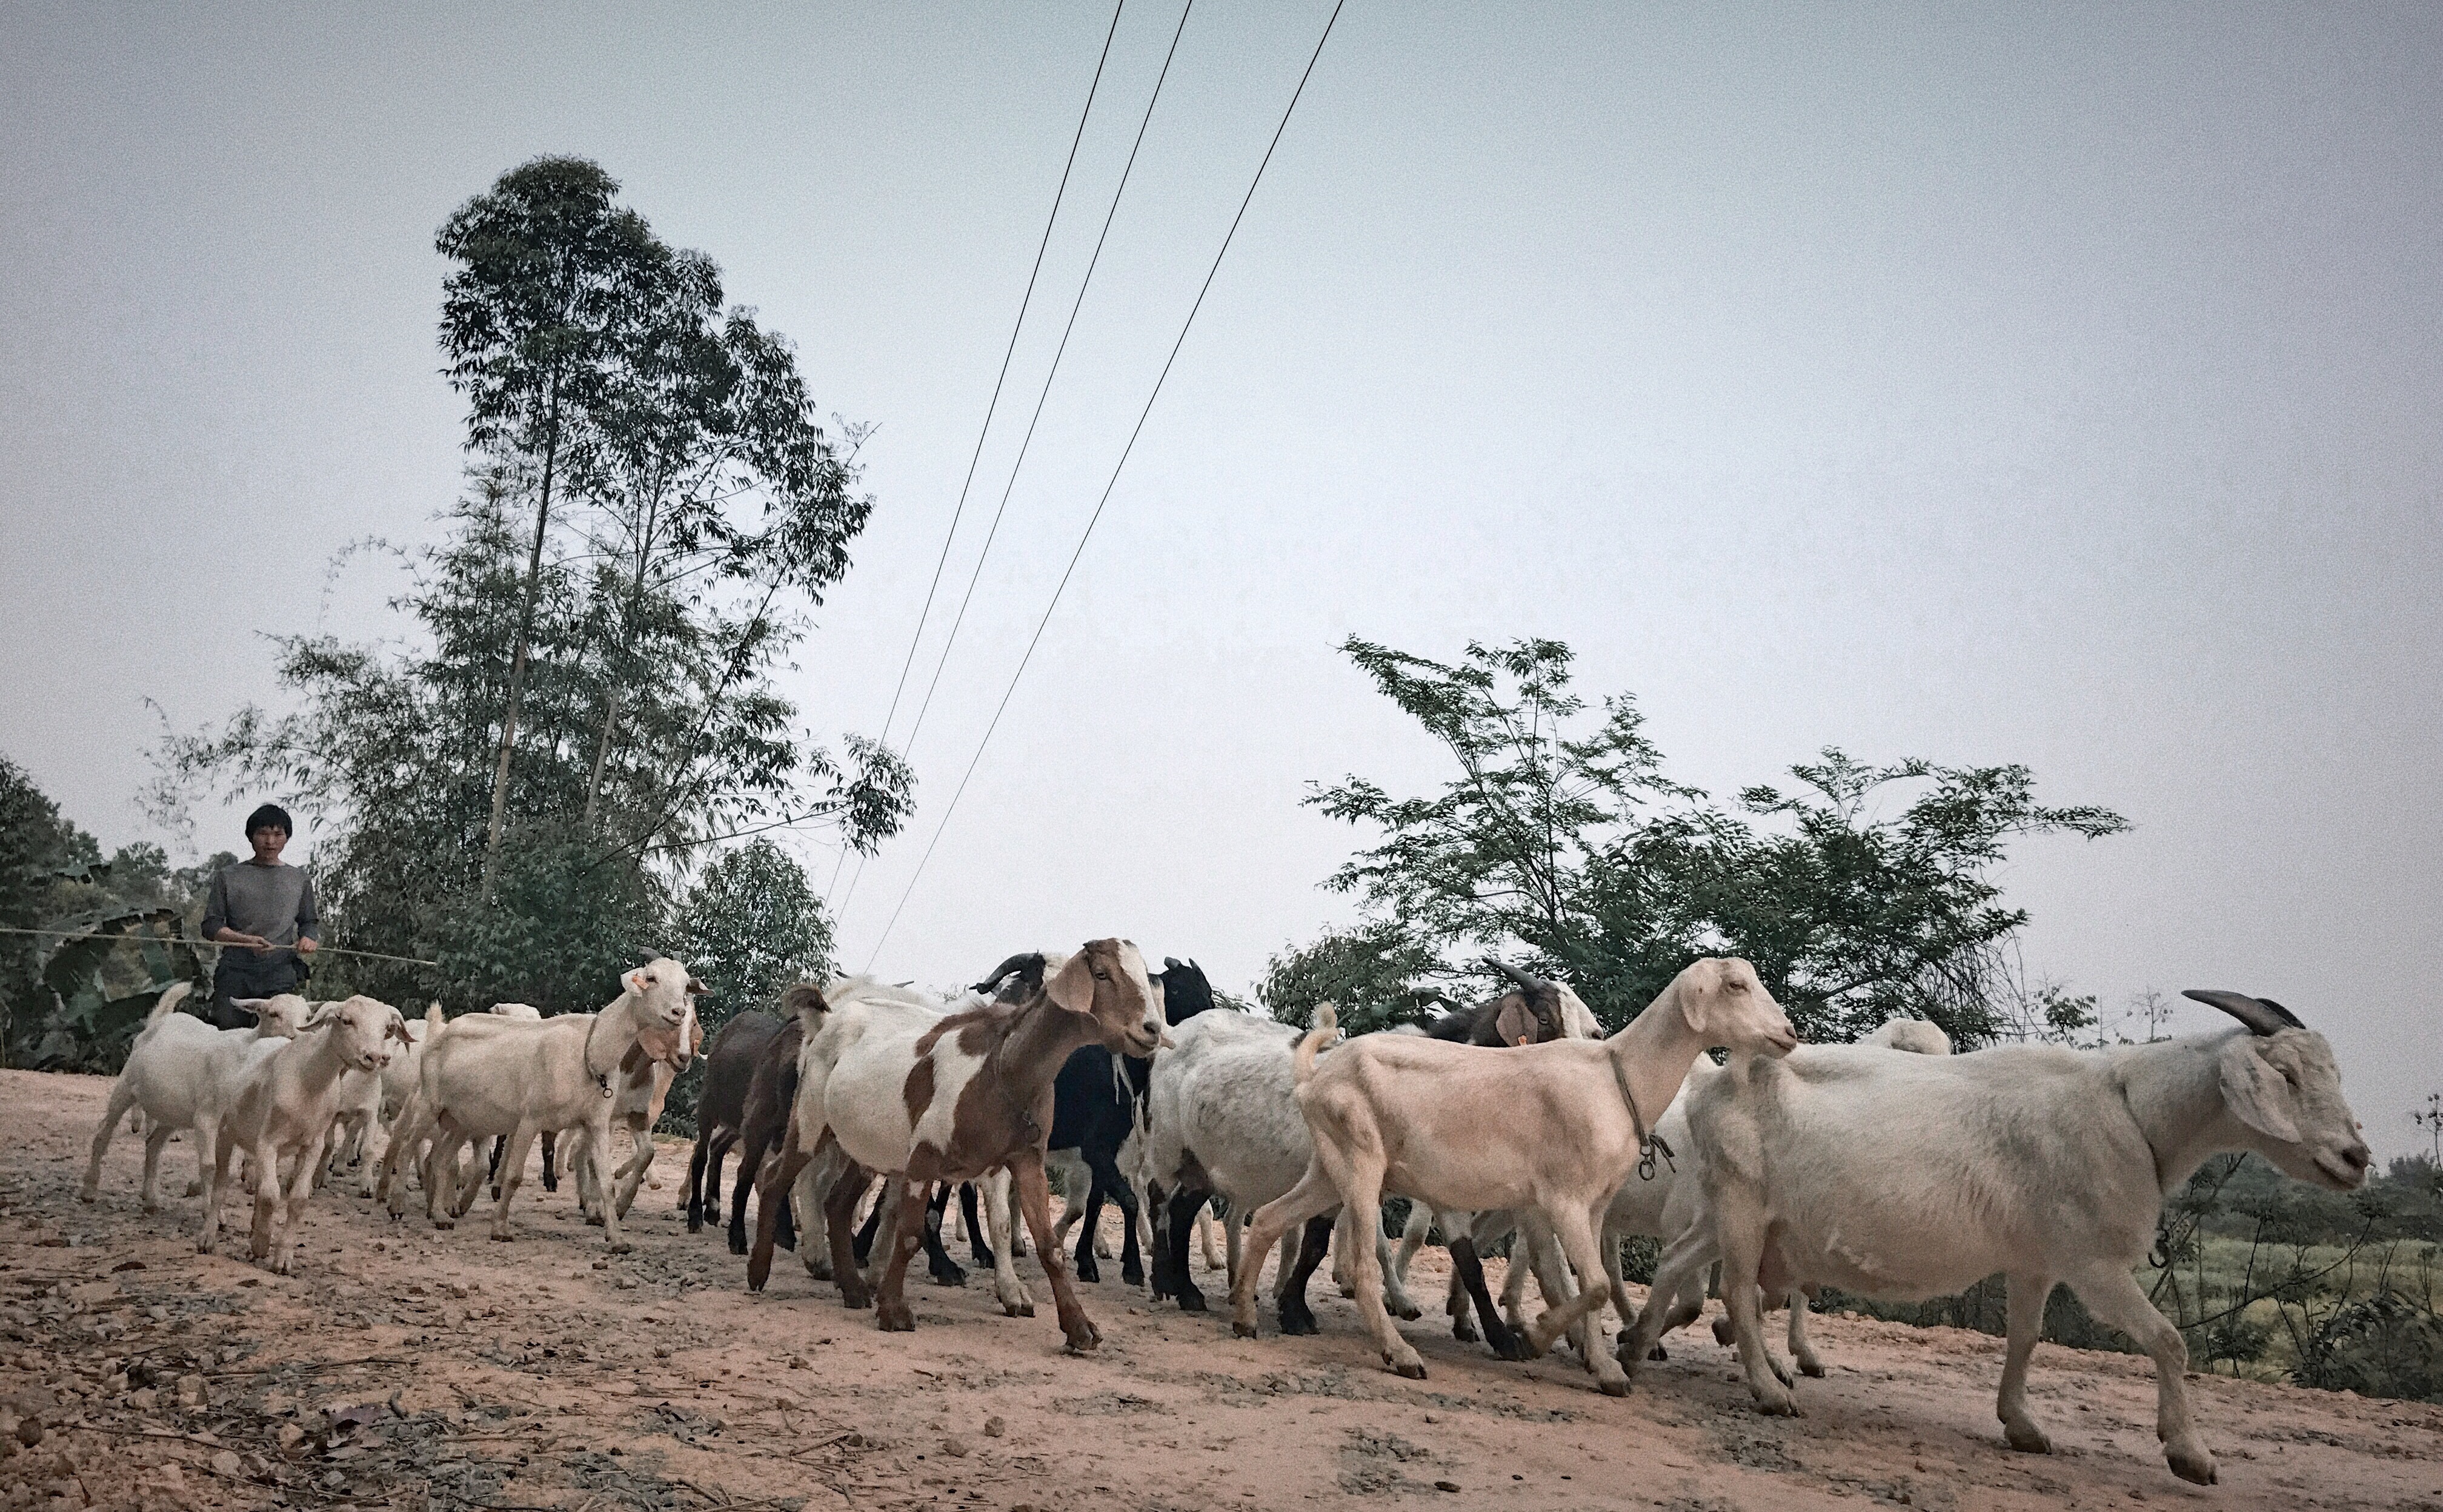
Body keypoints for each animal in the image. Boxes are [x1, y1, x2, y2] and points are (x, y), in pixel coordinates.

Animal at [83, 981, 315, 1216]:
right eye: (273, 1014)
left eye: (308, 1017)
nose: (297, 1038)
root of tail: (160, 1020)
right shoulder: (207, 1116)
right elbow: (209, 1166)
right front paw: (212, 1212)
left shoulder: (236, 1126)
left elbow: (227, 1170)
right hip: (127, 1085)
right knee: (103, 1132)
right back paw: (89, 1190)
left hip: (172, 1111)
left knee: (153, 1143)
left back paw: (151, 1199)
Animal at [195, 1001, 410, 1270]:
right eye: (346, 1021)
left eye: (386, 1029)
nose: (373, 1057)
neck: (308, 1083)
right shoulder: (267, 1142)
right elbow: (270, 1195)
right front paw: (261, 1244)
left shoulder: (312, 1144)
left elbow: (297, 1199)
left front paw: (282, 1258)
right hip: (225, 1130)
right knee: (221, 1183)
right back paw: (208, 1238)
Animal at [1241, 957, 1798, 1397]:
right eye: (1736, 985)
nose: (1789, 1035)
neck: (1615, 1077)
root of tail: (1317, 1077)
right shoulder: (1562, 1198)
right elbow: (1593, 1284)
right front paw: (1536, 1337)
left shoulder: (1594, 1207)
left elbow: (1589, 1283)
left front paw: (1604, 1369)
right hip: (1360, 1161)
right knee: (1358, 1264)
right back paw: (1400, 1354)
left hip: (1329, 1166)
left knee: (1268, 1219)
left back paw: (1245, 1315)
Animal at [1622, 992, 2364, 1494]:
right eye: (2288, 1077)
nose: (2355, 1157)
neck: (2130, 1106)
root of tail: (1717, 1078)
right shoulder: (2091, 1262)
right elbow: (2168, 1341)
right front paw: (2190, 1455)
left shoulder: (2036, 1260)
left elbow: (2026, 1337)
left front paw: (2022, 1425)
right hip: (1744, 1205)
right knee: (1736, 1292)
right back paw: (1765, 1389)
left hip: (1729, 1210)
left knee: (1677, 1261)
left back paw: (1635, 1344)